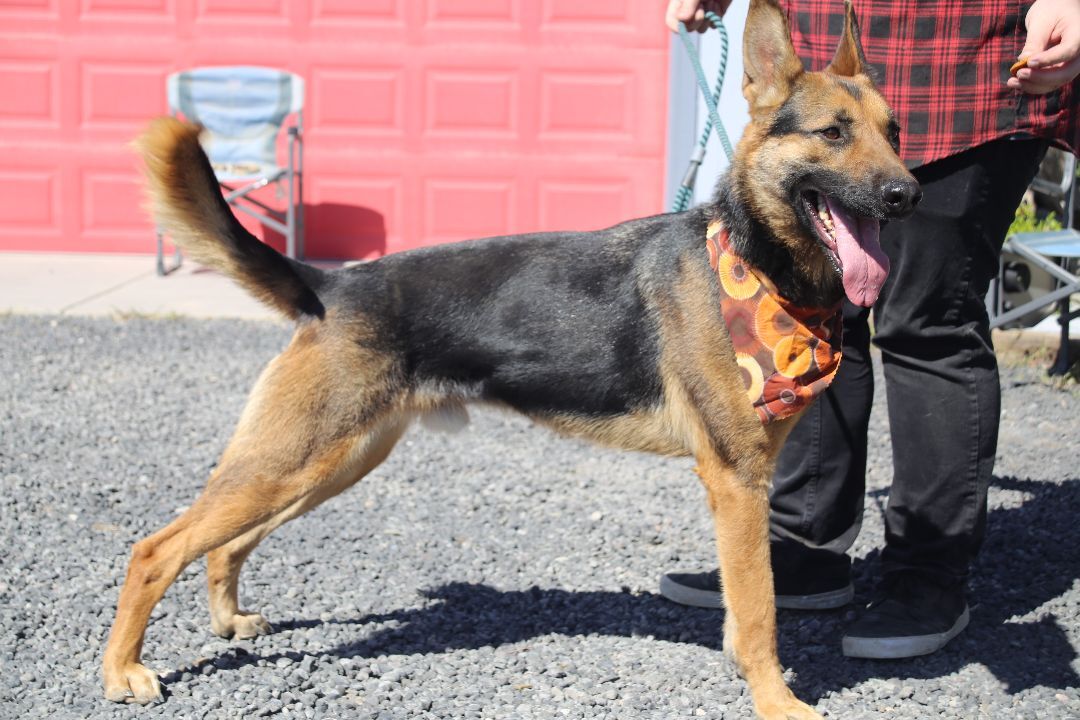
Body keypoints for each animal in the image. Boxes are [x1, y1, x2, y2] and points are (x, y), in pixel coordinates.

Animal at [103, 2, 920, 716]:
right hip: (294, 459)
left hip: (329, 462)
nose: (907, 194)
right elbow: (759, 615)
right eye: (834, 133)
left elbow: (746, 608)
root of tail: (332, 283)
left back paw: (226, 620)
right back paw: (123, 670)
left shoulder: (744, 485)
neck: (757, 266)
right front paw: (778, 701)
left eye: (895, 132)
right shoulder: (737, 482)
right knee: (154, 549)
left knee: (222, 544)